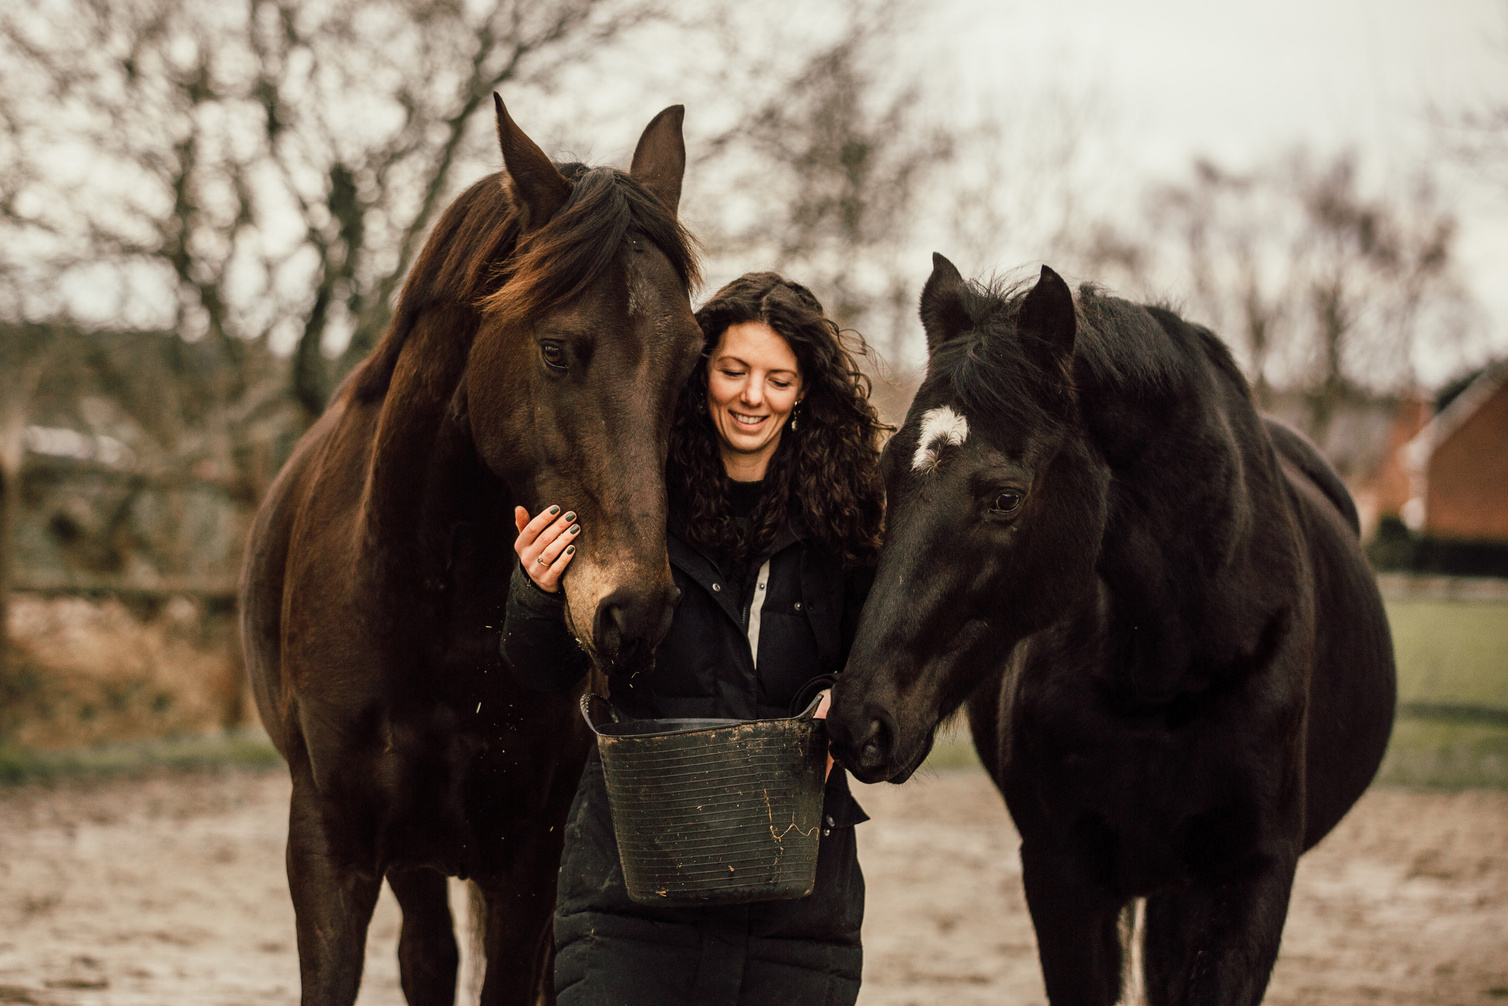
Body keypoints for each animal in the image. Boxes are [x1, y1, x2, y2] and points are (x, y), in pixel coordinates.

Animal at [239, 96, 702, 1005]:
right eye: (555, 349)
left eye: (692, 361)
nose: (634, 611)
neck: (427, 609)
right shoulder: (330, 853)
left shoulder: (529, 863)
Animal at [828, 255, 1396, 1005]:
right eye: (887, 473)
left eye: (1005, 498)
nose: (858, 723)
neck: (1167, 676)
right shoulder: (1063, 875)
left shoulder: (1248, 879)